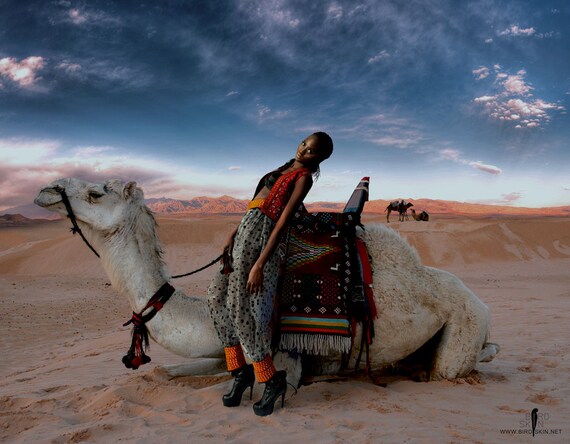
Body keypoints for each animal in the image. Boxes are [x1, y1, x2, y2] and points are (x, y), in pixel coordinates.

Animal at [35, 178, 496, 386]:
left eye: (97, 192)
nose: (46, 190)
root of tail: (480, 302)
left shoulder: (284, 359)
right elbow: (170, 371)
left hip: (465, 324)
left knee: (451, 366)